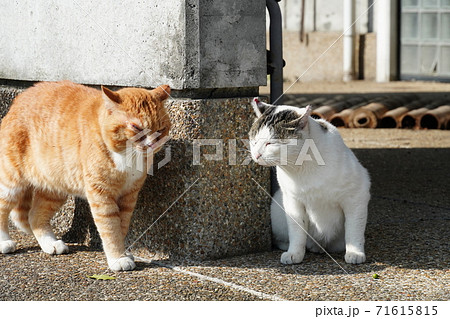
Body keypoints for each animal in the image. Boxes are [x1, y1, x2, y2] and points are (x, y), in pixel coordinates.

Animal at [0, 81, 171, 272]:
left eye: (161, 129)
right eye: (136, 128)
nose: (153, 144)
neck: (127, 156)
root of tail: (19, 99)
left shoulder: (129, 196)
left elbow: (122, 226)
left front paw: (123, 253)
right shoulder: (102, 195)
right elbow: (110, 229)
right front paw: (117, 258)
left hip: (55, 189)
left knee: (35, 217)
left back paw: (50, 243)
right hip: (11, 182)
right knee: (3, 208)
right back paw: (5, 242)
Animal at [250, 99, 370, 266]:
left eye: (270, 143)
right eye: (254, 141)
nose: (256, 154)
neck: (302, 167)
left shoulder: (356, 196)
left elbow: (354, 229)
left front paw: (355, 252)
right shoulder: (292, 201)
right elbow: (297, 231)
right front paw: (294, 253)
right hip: (277, 209)